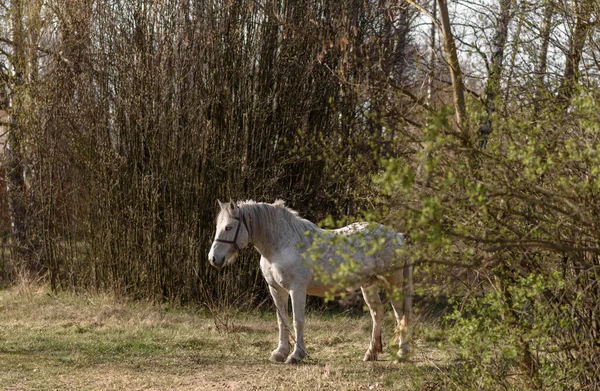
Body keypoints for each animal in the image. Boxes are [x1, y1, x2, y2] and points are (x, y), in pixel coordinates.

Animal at [207, 201, 412, 366]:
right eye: (218, 226)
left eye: (228, 227)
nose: (213, 258)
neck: (280, 245)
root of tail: (398, 236)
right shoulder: (276, 290)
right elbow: (282, 321)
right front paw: (280, 353)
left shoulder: (296, 290)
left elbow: (298, 321)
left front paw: (296, 355)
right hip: (369, 285)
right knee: (377, 313)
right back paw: (371, 353)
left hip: (393, 283)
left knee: (400, 314)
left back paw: (402, 354)